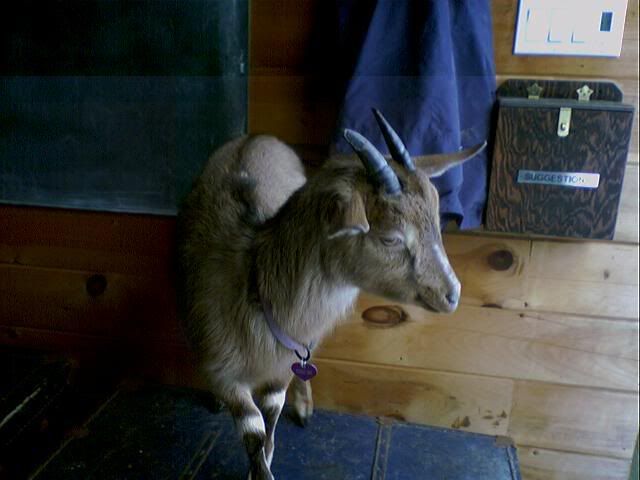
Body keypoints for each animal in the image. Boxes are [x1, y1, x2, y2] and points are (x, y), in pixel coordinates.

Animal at [176, 110, 485, 480]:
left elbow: (270, 423)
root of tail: (255, 136)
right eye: (390, 238)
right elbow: (254, 433)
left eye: (436, 223)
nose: (451, 294)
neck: (252, 281)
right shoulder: (223, 369)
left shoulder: (280, 371)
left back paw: (305, 406)